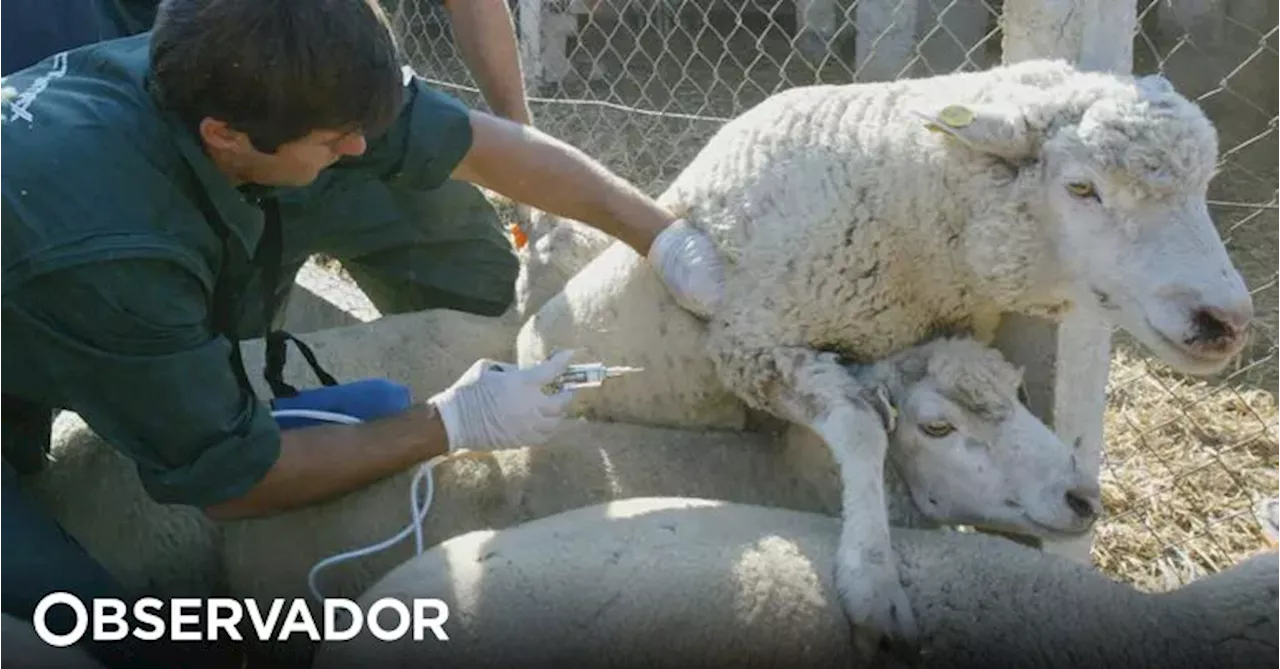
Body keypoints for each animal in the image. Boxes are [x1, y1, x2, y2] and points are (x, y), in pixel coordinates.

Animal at [514, 57, 1254, 649]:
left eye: (1202, 186)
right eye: (1080, 188)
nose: (1225, 320)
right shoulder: (753, 346)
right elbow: (864, 429)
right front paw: (873, 580)